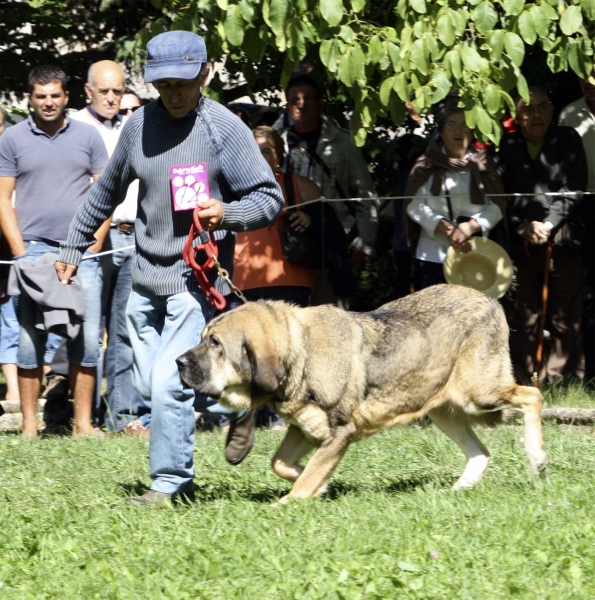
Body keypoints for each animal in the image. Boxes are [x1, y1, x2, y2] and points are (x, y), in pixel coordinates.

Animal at [178, 286, 548, 502]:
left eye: (216, 344)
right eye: (203, 338)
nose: (179, 361)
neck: (301, 353)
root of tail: (490, 300)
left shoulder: (339, 432)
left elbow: (304, 479)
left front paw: (291, 501)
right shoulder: (305, 429)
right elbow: (282, 464)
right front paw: (323, 486)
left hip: (477, 395)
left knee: (532, 394)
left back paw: (537, 457)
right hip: (444, 410)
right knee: (480, 452)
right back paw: (458, 490)